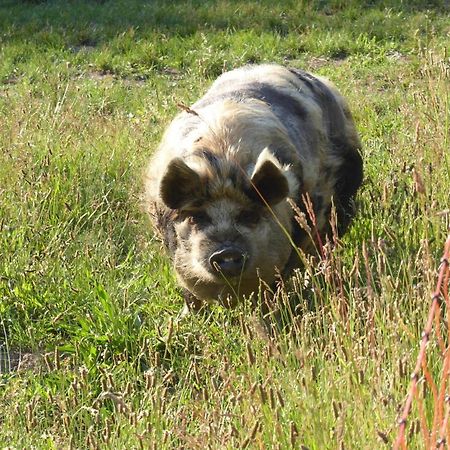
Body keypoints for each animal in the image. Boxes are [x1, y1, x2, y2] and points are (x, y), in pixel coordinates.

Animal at [144, 64, 362, 312]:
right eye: (196, 217)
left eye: (250, 215)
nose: (227, 252)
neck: (224, 161)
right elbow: (188, 292)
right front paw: (188, 316)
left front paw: (270, 312)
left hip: (343, 199)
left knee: (325, 246)